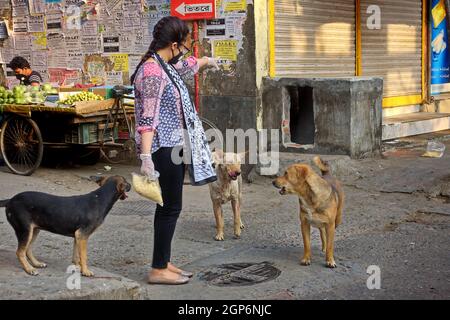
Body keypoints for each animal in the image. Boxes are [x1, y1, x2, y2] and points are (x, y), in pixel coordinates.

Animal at [0, 176, 130, 276]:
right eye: (126, 181)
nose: (130, 186)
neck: (100, 198)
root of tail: (10, 200)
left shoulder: (78, 236)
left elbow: (76, 256)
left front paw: (78, 268)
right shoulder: (82, 235)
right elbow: (84, 256)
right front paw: (86, 271)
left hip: (34, 230)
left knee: (27, 249)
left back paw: (36, 264)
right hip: (25, 230)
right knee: (20, 252)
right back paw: (29, 269)